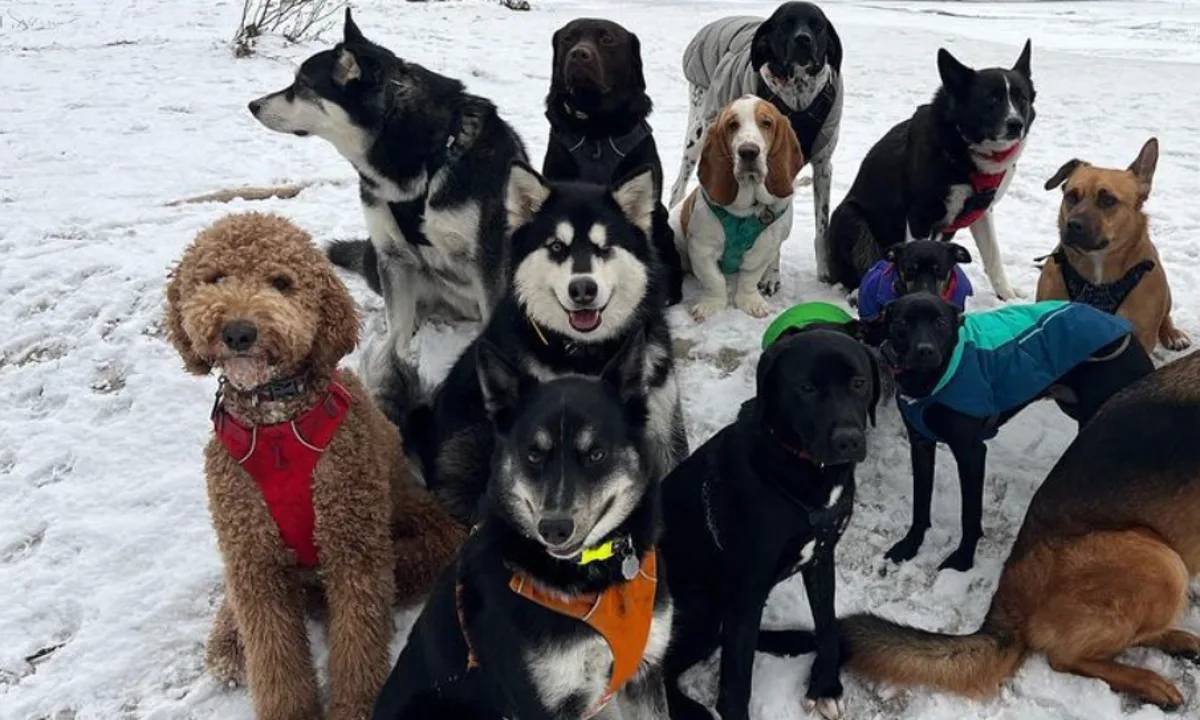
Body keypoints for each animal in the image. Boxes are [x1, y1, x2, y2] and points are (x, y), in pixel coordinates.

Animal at [166, 212, 465, 720]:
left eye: (281, 283)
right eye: (216, 278)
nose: (239, 332)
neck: (276, 426)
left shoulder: (352, 545)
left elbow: (358, 643)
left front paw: (355, 707)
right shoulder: (253, 556)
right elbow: (274, 656)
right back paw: (228, 643)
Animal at [662, 324, 878, 720]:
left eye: (859, 383)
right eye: (806, 388)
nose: (848, 441)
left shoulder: (820, 557)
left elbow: (826, 623)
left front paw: (826, 685)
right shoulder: (746, 587)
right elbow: (735, 685)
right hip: (699, 604)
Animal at [883, 289, 1152, 571]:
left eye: (941, 323)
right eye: (901, 324)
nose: (924, 351)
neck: (930, 381)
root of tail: (1130, 337)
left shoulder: (971, 453)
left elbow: (970, 514)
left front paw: (963, 559)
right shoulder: (920, 444)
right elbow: (920, 502)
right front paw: (909, 544)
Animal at [1036, 137, 1185, 350]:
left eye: (1108, 200)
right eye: (1071, 195)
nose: (1072, 224)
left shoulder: (1142, 335)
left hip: (1166, 295)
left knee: (1165, 315)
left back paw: (1172, 333)